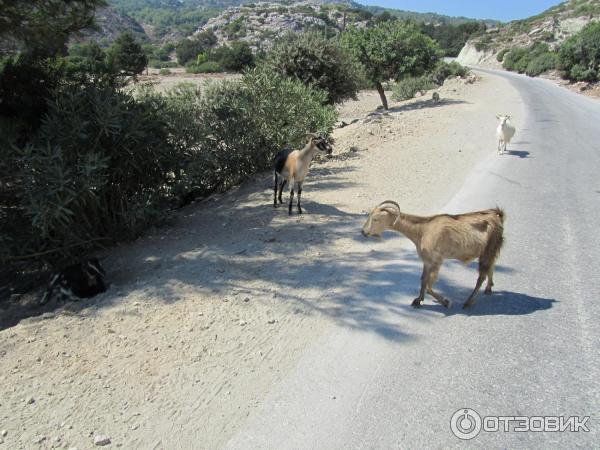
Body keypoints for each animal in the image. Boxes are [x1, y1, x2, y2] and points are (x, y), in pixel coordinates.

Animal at [364, 201, 504, 310]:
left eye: (375, 219)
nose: (363, 232)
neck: (422, 230)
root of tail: (497, 216)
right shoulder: (427, 261)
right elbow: (423, 280)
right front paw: (418, 300)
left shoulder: (436, 260)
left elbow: (428, 285)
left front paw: (446, 302)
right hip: (491, 250)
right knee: (491, 266)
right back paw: (489, 288)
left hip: (488, 249)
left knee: (481, 277)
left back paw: (468, 302)